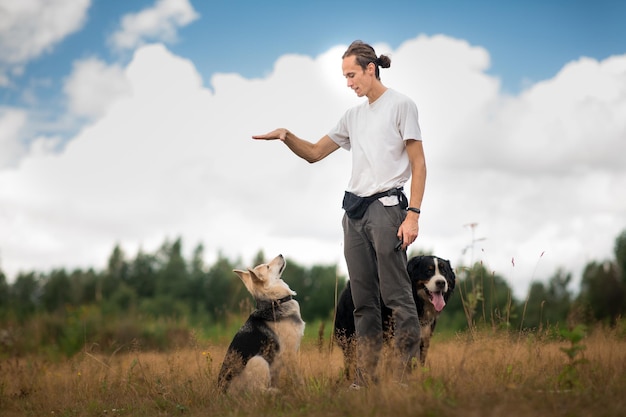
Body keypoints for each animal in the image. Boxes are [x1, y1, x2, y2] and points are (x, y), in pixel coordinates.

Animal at [217, 254, 304, 394]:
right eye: (267, 266)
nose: (281, 254)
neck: (274, 302)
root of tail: (222, 392)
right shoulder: (289, 355)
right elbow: (298, 378)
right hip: (258, 360)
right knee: (258, 391)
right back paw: (275, 392)